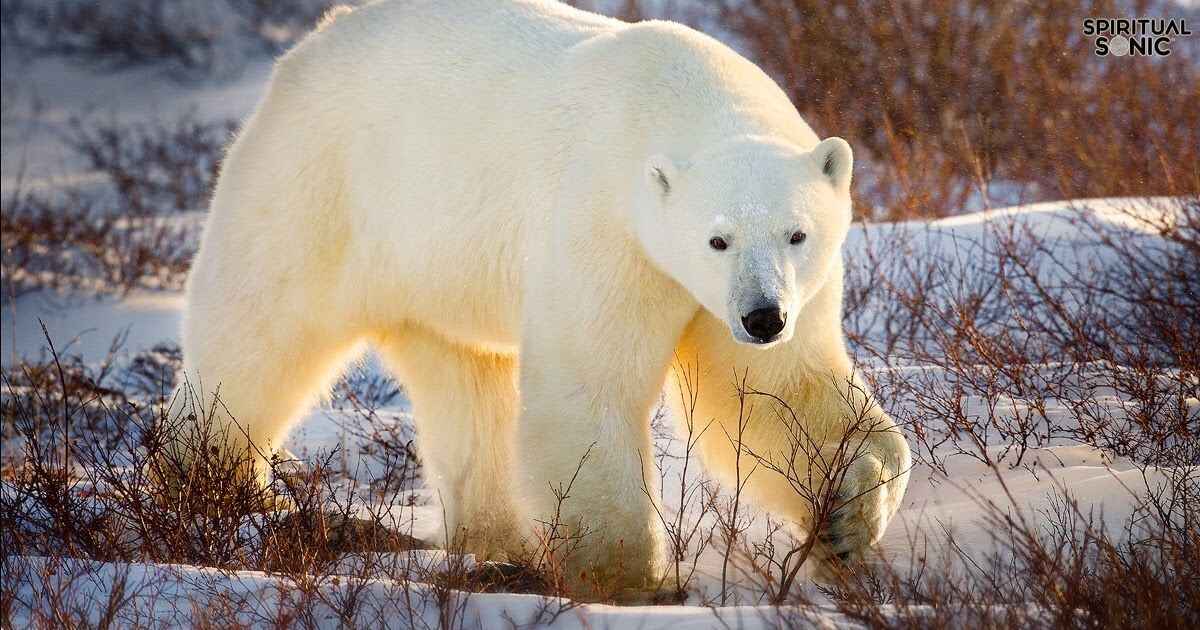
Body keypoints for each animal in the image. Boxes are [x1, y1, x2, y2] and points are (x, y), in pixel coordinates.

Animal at [177, 0, 907, 590]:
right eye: (716, 239)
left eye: (797, 233)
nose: (762, 317)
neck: (680, 99)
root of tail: (313, 43)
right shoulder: (610, 230)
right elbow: (590, 389)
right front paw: (629, 580)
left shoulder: (779, 291)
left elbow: (778, 392)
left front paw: (846, 525)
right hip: (320, 186)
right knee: (257, 333)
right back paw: (212, 489)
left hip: (440, 269)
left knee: (465, 381)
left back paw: (494, 538)